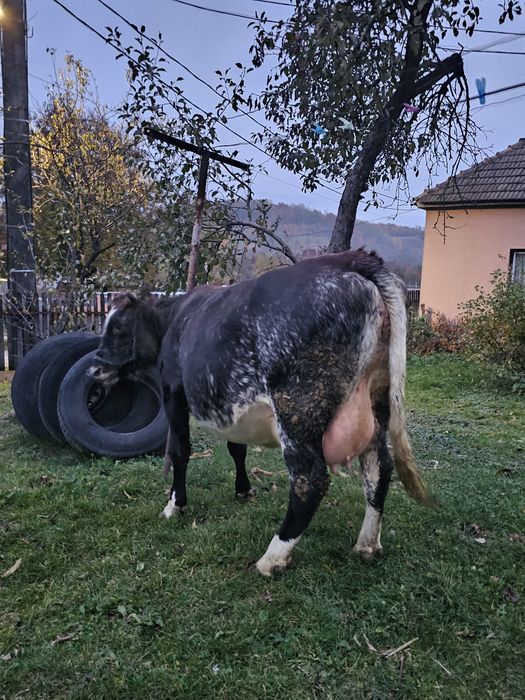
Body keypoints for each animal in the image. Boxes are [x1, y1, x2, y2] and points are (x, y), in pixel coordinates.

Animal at [90, 250, 430, 576]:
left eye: (118, 329)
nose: (94, 367)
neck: (173, 319)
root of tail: (351, 259)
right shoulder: (232, 407)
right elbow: (236, 448)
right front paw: (243, 489)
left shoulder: (174, 392)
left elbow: (179, 450)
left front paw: (175, 505)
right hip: (376, 402)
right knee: (378, 469)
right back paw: (367, 545)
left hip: (297, 408)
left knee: (310, 480)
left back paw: (272, 558)